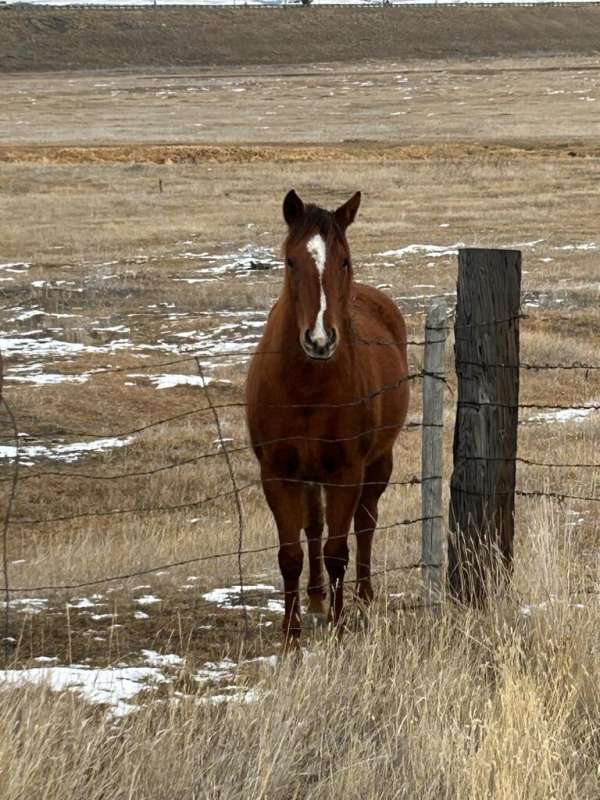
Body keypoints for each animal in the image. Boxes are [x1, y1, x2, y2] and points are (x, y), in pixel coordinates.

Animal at [246, 189, 410, 644]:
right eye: (290, 261)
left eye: (345, 261)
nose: (319, 340)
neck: (307, 385)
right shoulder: (277, 472)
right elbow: (290, 554)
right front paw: (290, 637)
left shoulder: (347, 471)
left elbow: (339, 550)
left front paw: (338, 630)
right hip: (309, 473)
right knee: (314, 526)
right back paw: (317, 599)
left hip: (377, 463)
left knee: (366, 522)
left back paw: (363, 596)